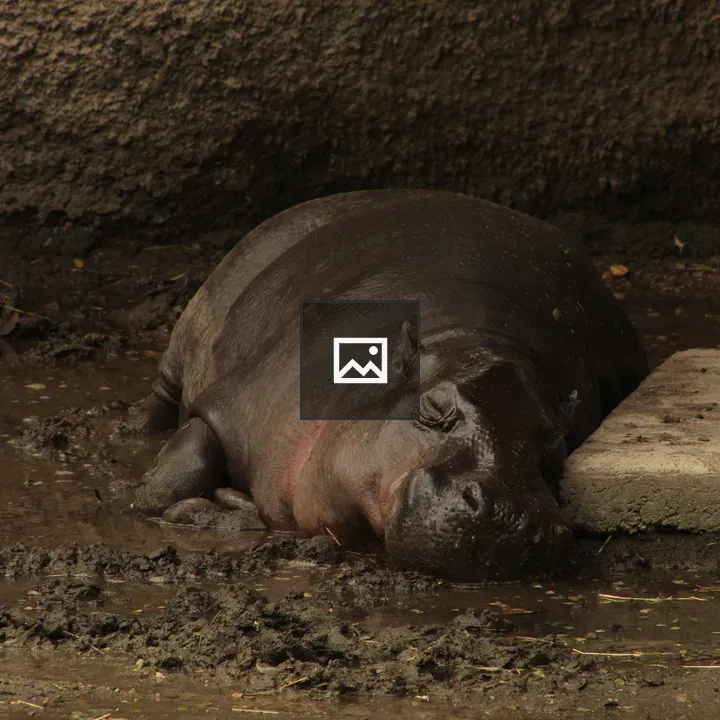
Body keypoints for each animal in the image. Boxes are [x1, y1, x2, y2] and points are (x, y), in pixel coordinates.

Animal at [131, 189, 648, 582]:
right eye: (433, 408)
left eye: (556, 446)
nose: (510, 514)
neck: (470, 341)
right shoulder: (229, 409)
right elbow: (175, 476)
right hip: (196, 321)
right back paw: (139, 428)